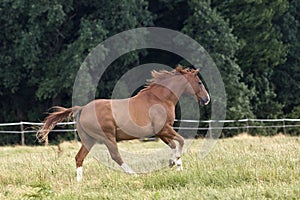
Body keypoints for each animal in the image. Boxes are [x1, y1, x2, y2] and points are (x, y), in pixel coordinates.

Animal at [37, 66, 210, 181]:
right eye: (199, 82)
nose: (206, 99)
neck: (160, 99)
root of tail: (82, 109)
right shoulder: (164, 129)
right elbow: (181, 142)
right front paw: (174, 163)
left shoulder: (162, 133)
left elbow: (174, 145)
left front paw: (176, 165)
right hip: (107, 137)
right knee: (116, 156)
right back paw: (134, 175)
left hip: (89, 139)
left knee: (79, 157)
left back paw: (79, 182)